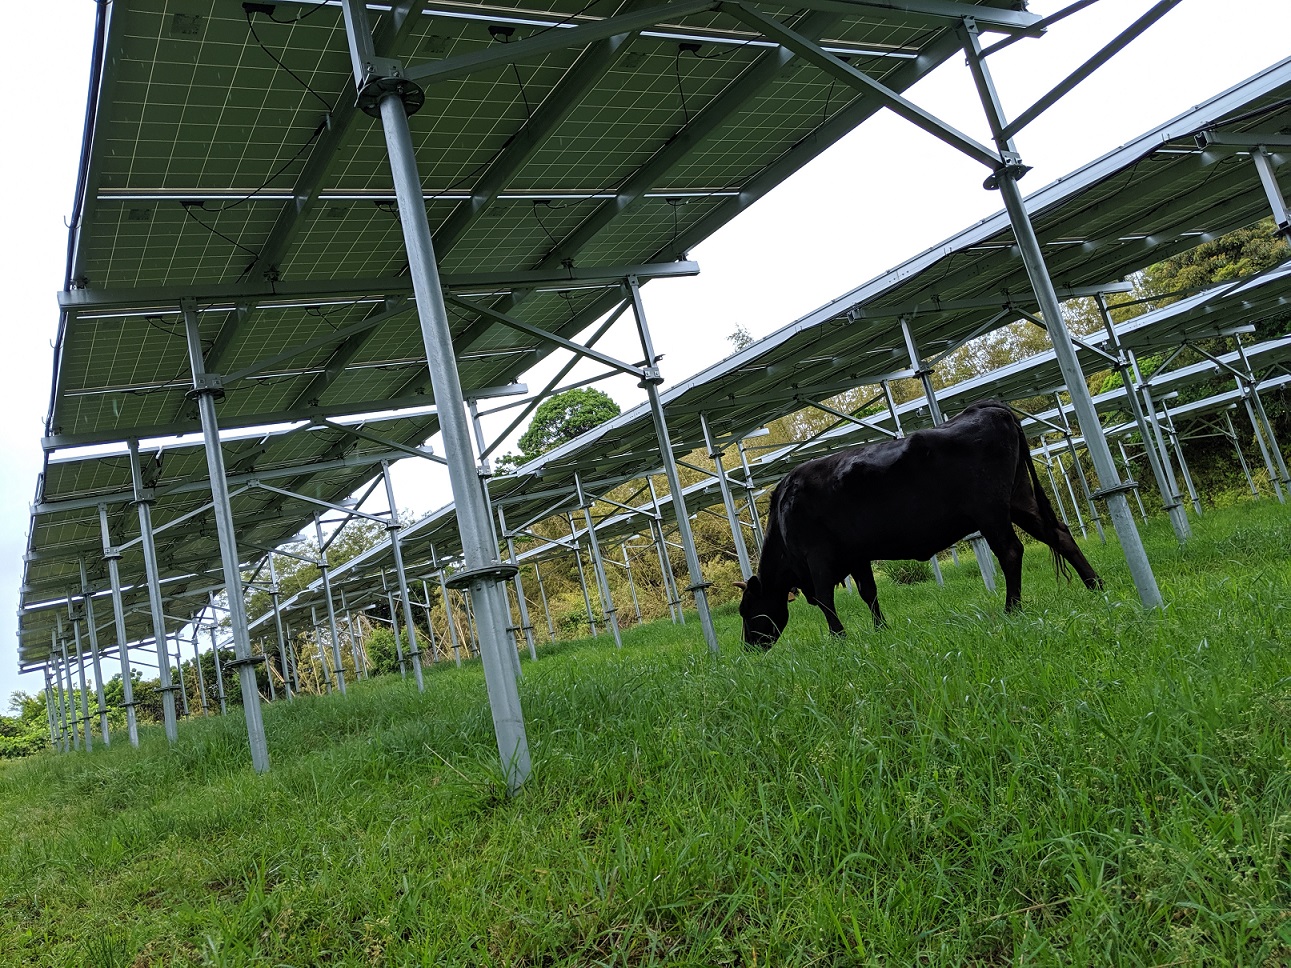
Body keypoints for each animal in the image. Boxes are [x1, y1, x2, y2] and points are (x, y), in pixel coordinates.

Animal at [738, 397, 1099, 647]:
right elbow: (869, 592)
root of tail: (985, 406)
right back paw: (1095, 585)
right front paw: (881, 629)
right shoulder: (857, 555)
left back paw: (1012, 608)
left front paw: (839, 638)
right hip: (1019, 500)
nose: (748, 648)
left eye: (747, 610)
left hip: (990, 511)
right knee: (1058, 534)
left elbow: (826, 600)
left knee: (1011, 551)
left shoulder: (818, 557)